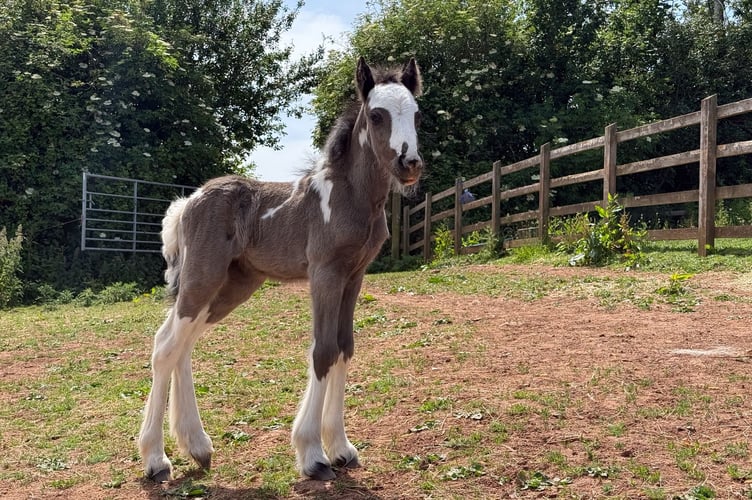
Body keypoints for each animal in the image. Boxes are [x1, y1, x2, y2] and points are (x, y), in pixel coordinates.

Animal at [138, 57, 424, 482]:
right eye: (376, 115)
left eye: (417, 114)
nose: (410, 164)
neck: (349, 198)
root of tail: (188, 201)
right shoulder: (325, 274)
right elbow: (323, 350)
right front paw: (313, 455)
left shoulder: (354, 277)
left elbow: (345, 347)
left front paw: (341, 448)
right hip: (203, 277)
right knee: (166, 346)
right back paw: (156, 459)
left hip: (231, 285)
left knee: (181, 343)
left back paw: (197, 446)